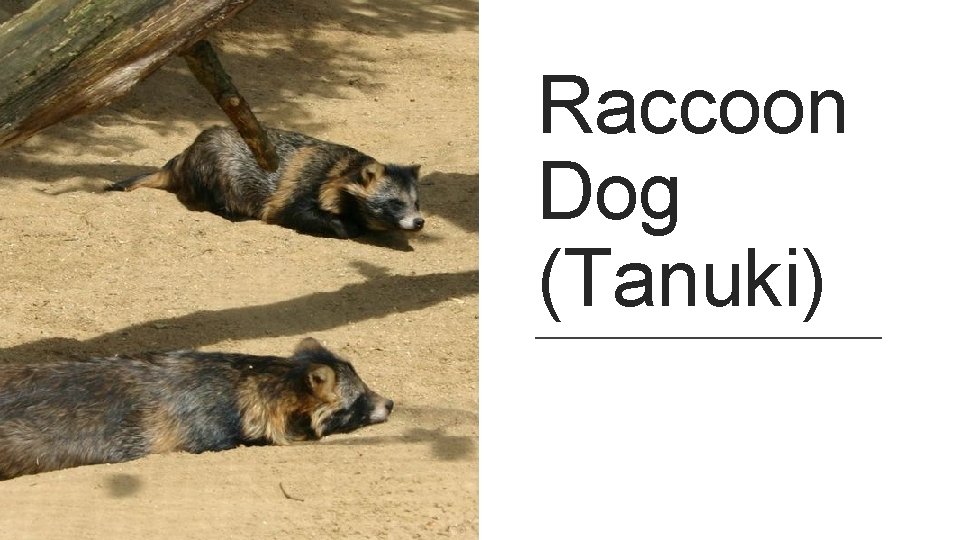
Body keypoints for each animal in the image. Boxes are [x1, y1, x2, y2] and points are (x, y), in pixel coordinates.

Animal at [108, 126, 424, 238]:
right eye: (395, 203)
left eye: (417, 202)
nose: (419, 222)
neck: (344, 168)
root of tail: (183, 156)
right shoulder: (304, 183)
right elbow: (296, 212)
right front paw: (347, 226)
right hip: (216, 165)